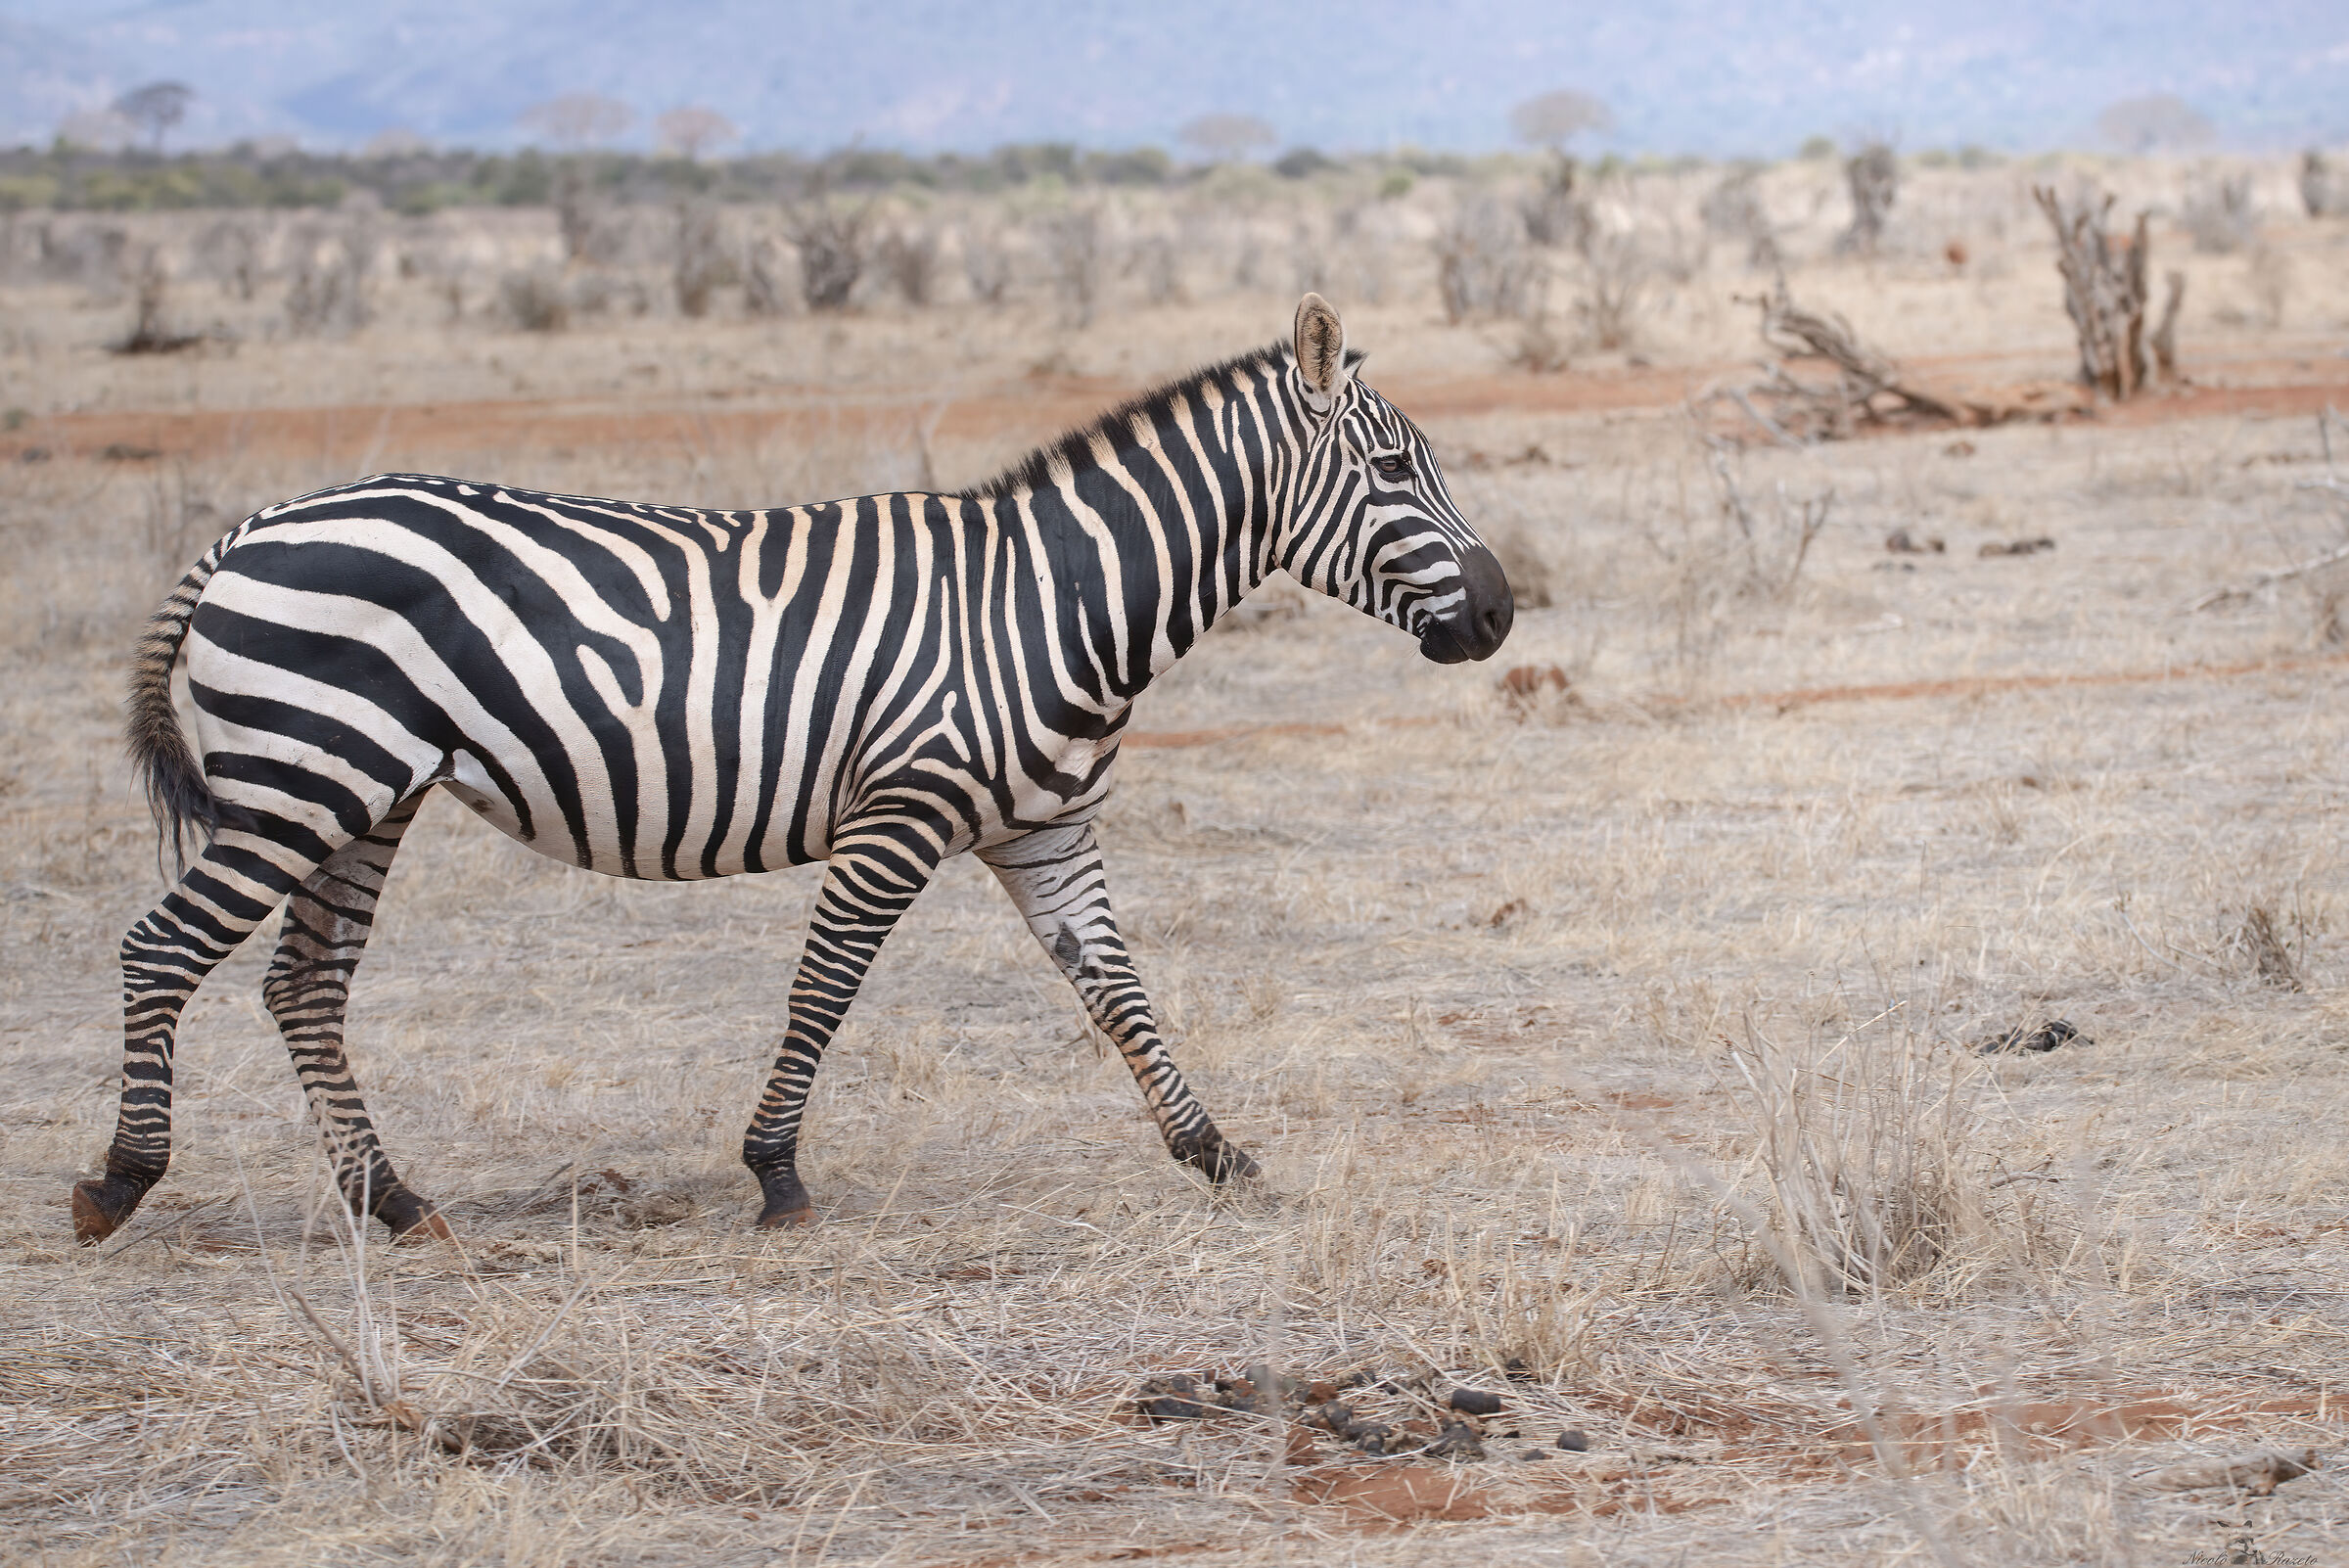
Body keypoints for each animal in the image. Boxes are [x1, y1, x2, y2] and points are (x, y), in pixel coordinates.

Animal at [71, 293, 1515, 1246]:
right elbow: (825, 986)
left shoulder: (1044, 830)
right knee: (162, 949)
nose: (1502, 615)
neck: (1055, 605)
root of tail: (251, 525)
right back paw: (119, 1182)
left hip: (364, 795)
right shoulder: (899, 814)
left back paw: (394, 1199)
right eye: (1396, 467)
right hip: (302, 779)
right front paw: (773, 1171)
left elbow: (1117, 992)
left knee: (303, 986)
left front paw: (1214, 1151)